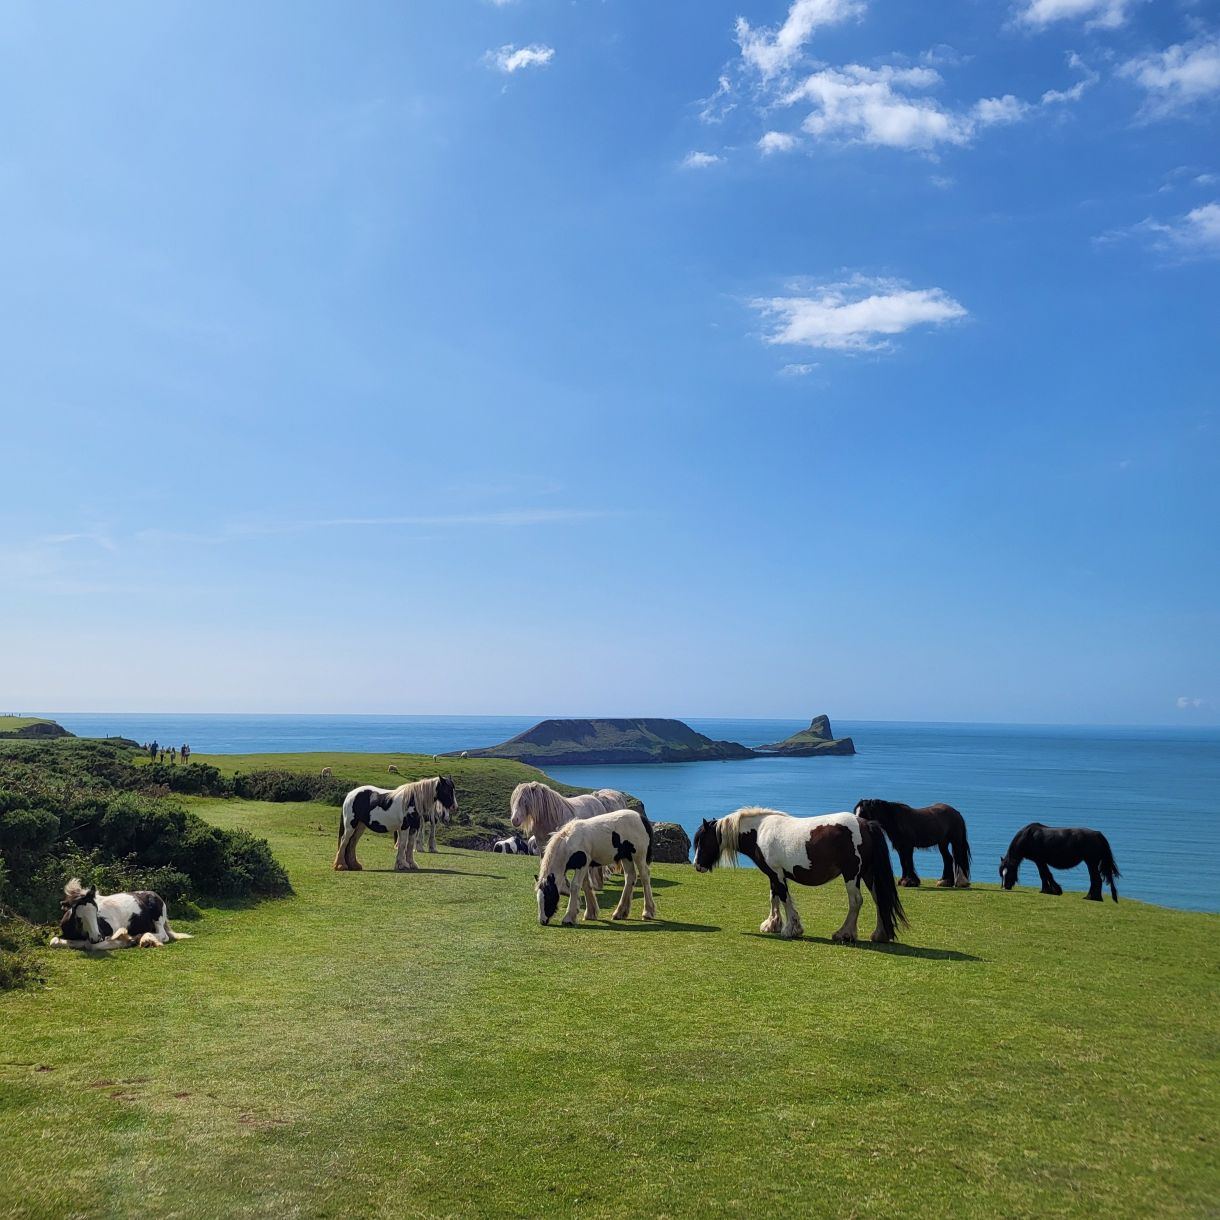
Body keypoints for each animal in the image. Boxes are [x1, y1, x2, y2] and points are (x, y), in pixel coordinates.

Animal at [50, 878, 192, 949]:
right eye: (78, 917)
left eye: (96, 911)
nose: (96, 937)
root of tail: (154, 894)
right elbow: (54, 941)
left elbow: (92, 946)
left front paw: (126, 941)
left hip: (158, 920)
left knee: (163, 935)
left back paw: (141, 939)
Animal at [692, 807, 908, 943]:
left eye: (703, 840)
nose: (697, 865)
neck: (759, 831)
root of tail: (866, 824)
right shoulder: (774, 873)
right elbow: (774, 897)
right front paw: (772, 924)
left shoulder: (777, 873)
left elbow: (784, 898)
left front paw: (791, 929)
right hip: (869, 874)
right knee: (879, 899)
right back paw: (879, 934)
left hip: (851, 875)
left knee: (856, 901)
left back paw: (844, 934)